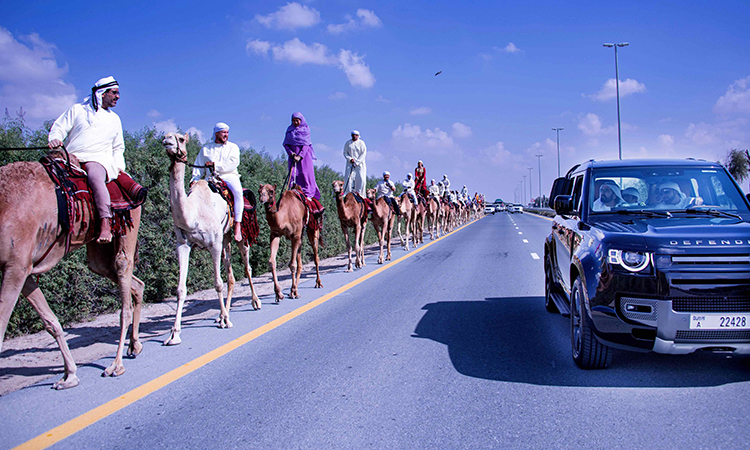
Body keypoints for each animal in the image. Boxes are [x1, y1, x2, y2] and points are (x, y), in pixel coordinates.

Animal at [0, 152, 144, 390]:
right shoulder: (22, 269)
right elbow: (50, 322)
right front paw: (70, 375)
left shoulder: (16, 265)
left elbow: (1, 325)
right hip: (98, 251)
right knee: (132, 281)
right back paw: (135, 345)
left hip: (128, 222)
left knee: (123, 271)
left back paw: (116, 365)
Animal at [162, 132, 262, 346]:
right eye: (165, 136)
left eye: (181, 139)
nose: (167, 140)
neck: (193, 213)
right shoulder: (183, 244)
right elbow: (180, 289)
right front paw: (174, 334)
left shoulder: (213, 243)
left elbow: (217, 282)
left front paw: (225, 320)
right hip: (225, 238)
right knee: (231, 274)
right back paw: (223, 313)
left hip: (239, 236)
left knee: (247, 267)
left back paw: (254, 302)